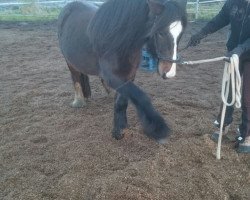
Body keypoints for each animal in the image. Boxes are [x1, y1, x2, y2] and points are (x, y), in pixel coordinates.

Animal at [58, 0, 187, 144]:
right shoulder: (114, 77)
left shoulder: (129, 75)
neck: (119, 39)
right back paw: (79, 101)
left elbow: (122, 101)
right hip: (69, 61)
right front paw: (158, 128)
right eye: (160, 33)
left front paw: (120, 128)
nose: (169, 73)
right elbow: (140, 96)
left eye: (180, 33)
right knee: (76, 77)